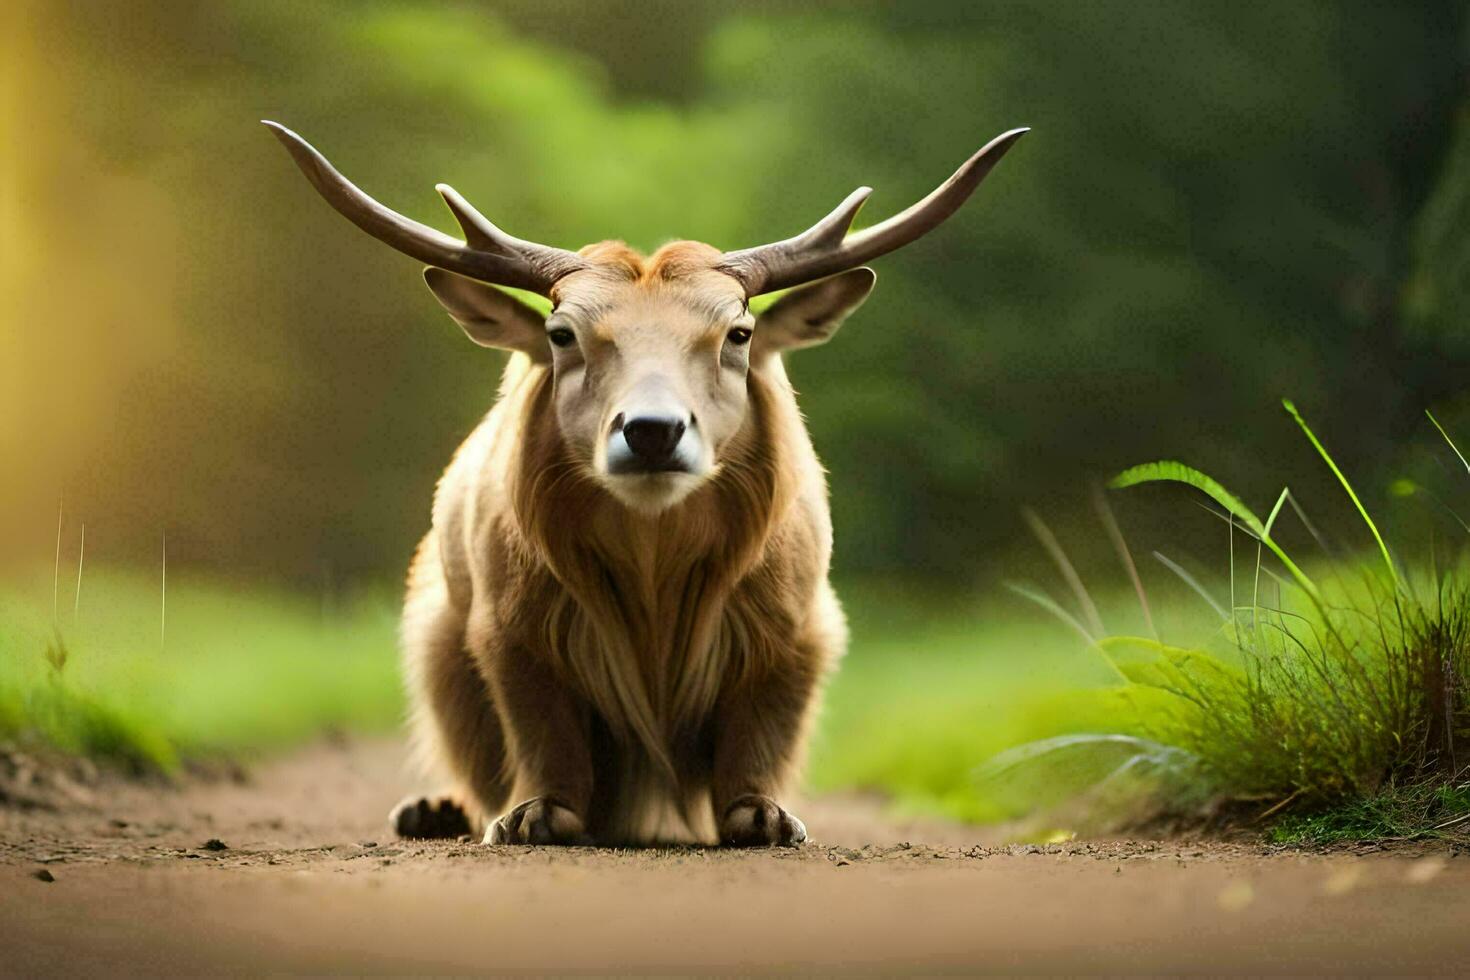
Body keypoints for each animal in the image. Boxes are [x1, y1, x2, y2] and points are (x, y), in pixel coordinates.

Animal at [267, 120, 1023, 846]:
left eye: (739, 333)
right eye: (561, 334)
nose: (652, 430)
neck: (654, 589)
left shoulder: (799, 629)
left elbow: (764, 733)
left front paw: (766, 816)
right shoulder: (506, 630)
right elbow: (540, 728)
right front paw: (535, 814)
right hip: (433, 639)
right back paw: (430, 810)